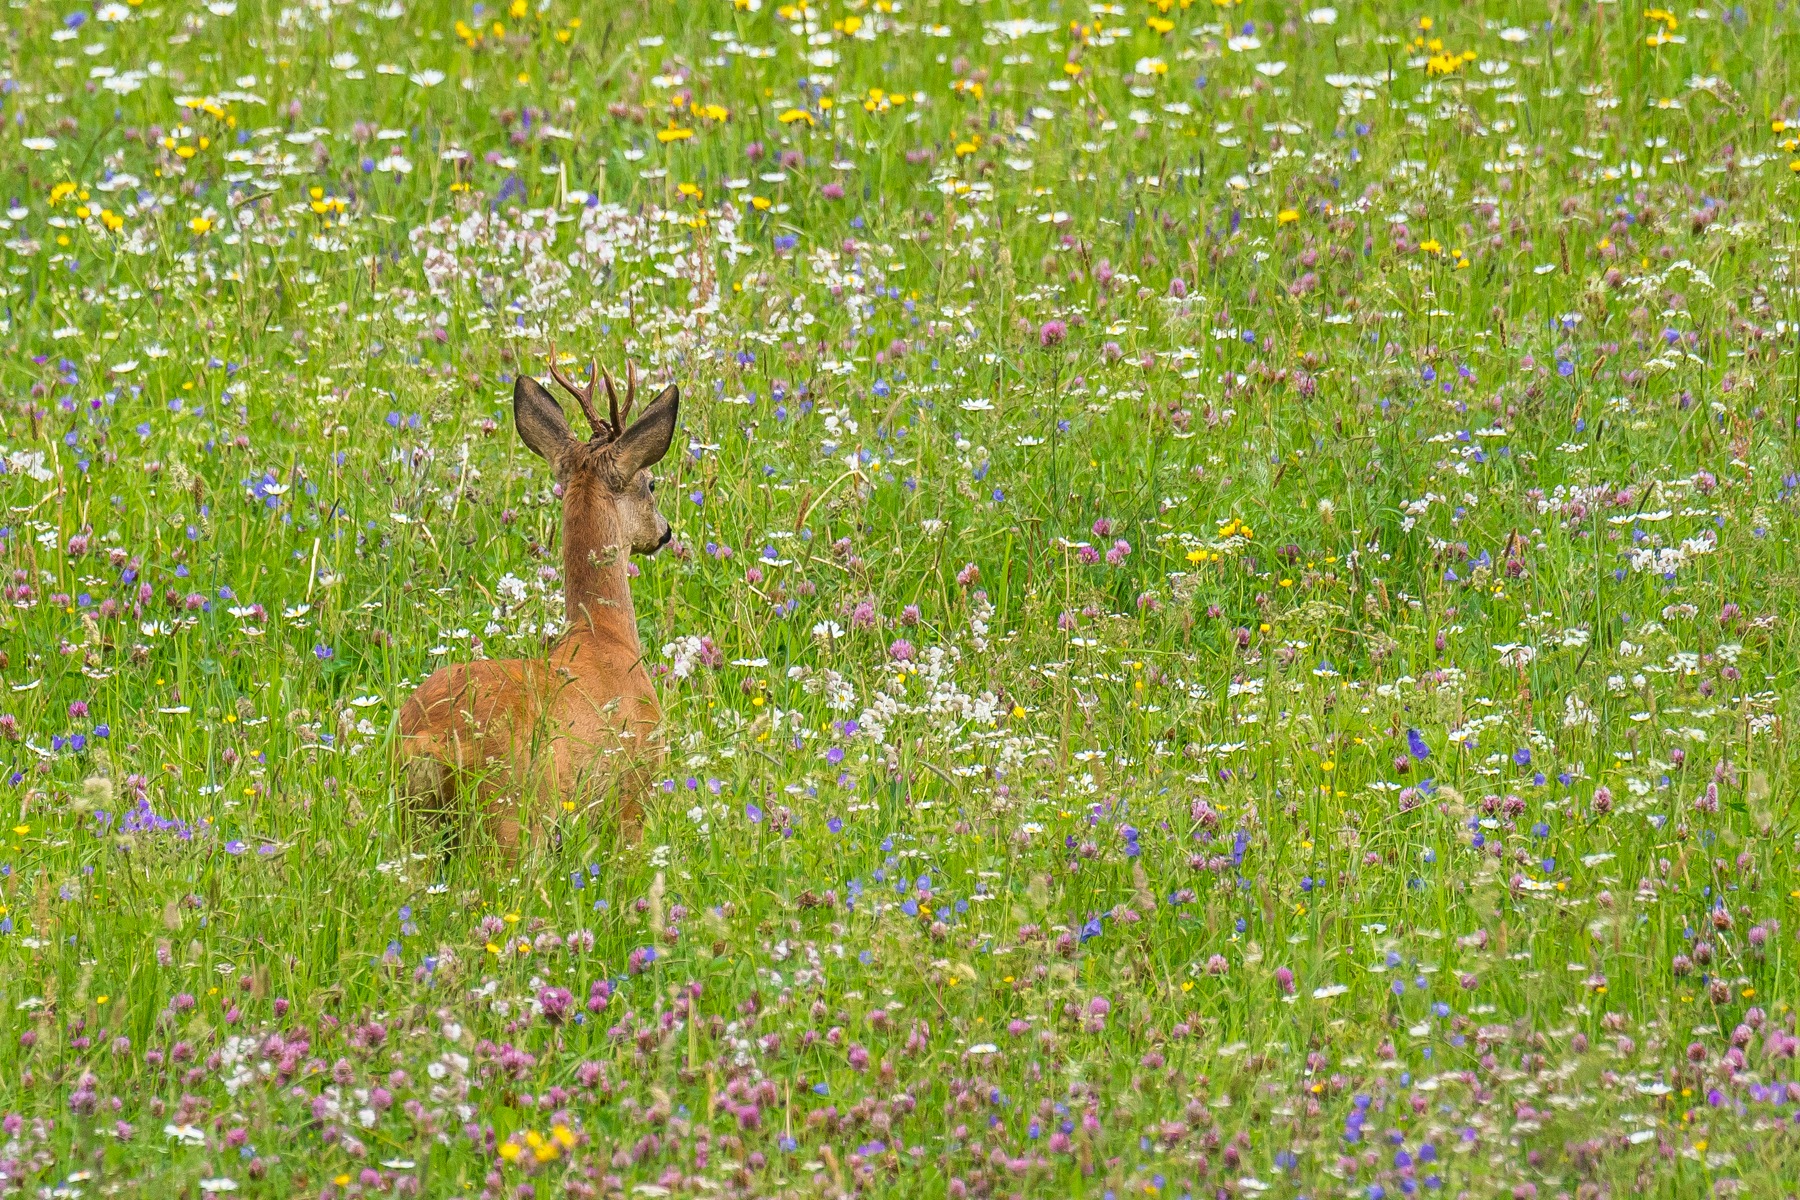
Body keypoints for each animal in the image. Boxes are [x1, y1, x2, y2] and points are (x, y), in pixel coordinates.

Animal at [397, 361, 676, 849]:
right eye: (651, 483)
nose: (665, 531)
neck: (605, 634)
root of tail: (427, 739)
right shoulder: (635, 787)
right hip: (513, 812)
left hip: (413, 822)